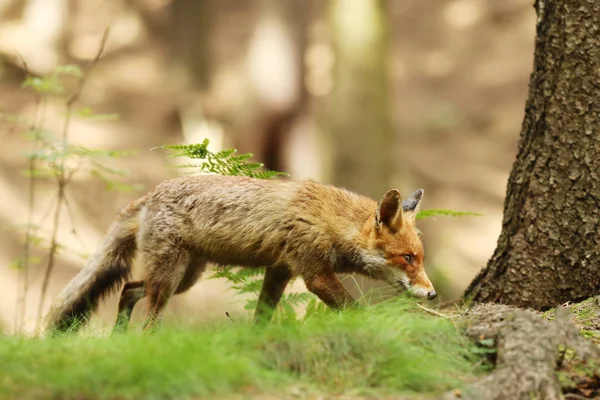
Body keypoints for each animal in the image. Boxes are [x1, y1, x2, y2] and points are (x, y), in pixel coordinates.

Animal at [44, 173, 434, 332]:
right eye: (407, 258)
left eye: (420, 258)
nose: (432, 294)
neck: (329, 220)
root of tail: (150, 194)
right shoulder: (314, 274)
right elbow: (354, 310)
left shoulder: (280, 270)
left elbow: (263, 314)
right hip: (170, 279)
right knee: (148, 315)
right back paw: (144, 344)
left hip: (184, 278)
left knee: (127, 290)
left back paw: (119, 339)